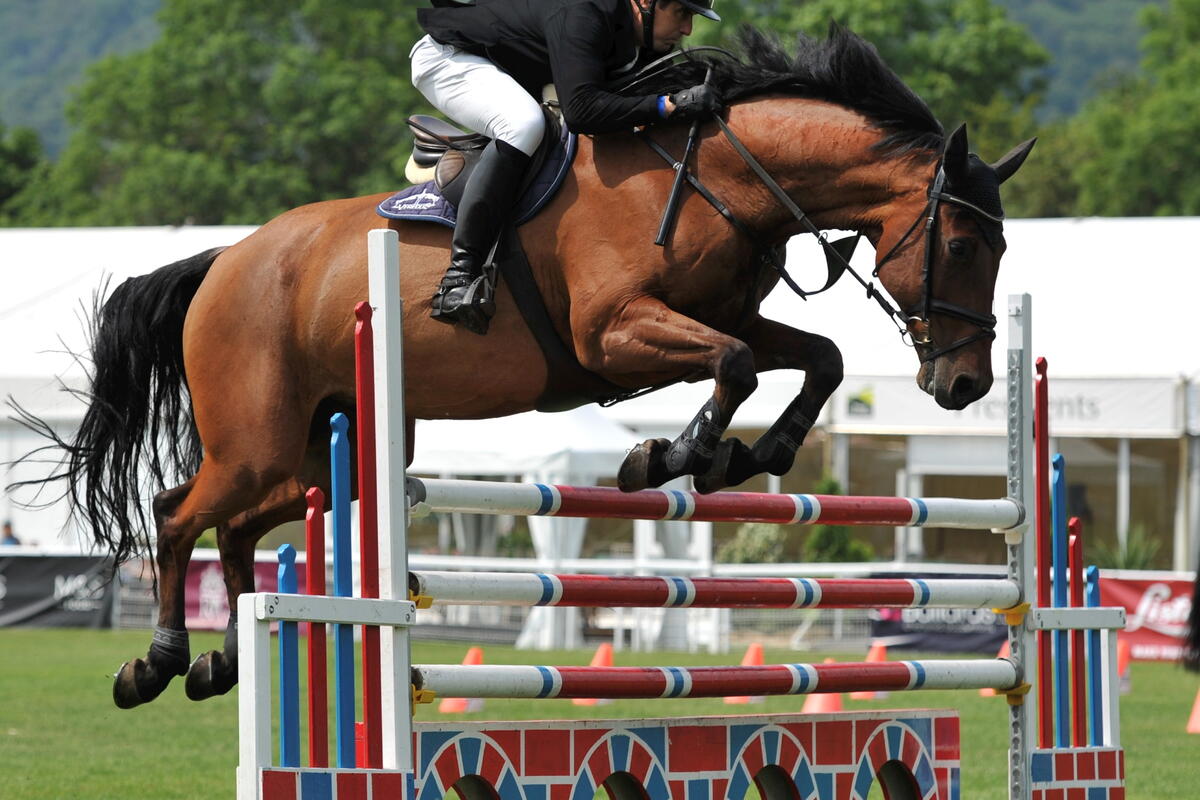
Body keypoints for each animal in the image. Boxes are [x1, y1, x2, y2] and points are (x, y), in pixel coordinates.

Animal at [21, 26, 1034, 708]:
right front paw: (669, 458)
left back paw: (224, 657)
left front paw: (750, 456)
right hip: (257, 439)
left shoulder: (720, 312)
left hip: (316, 455)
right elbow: (740, 364)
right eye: (960, 242)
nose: (966, 386)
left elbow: (811, 357)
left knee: (234, 529)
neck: (723, 176)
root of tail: (226, 260)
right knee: (175, 512)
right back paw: (155, 662)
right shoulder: (616, 332)